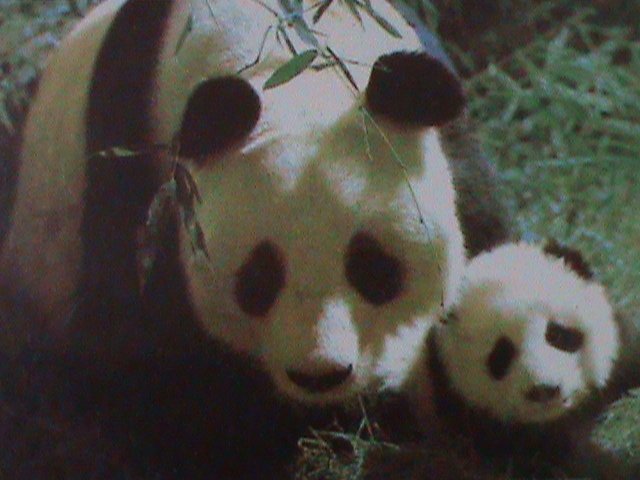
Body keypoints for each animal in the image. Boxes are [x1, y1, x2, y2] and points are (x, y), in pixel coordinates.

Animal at [0, 0, 512, 477]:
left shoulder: (454, 148)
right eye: (259, 277)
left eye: (374, 268)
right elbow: (156, 364)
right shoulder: (138, 174)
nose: (320, 375)